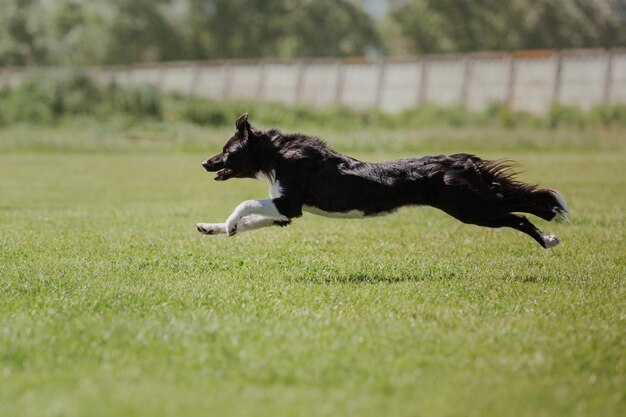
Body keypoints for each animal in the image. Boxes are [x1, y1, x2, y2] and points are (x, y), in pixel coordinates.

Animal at [197, 112, 568, 247]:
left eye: (227, 150)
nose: (204, 162)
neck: (277, 155)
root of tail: (462, 160)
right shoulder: (285, 213)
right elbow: (249, 221)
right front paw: (214, 228)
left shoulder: (289, 203)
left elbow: (244, 203)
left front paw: (226, 224)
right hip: (476, 210)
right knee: (516, 217)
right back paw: (548, 239)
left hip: (472, 205)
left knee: (521, 202)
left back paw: (553, 210)